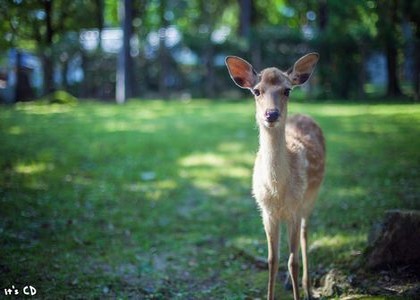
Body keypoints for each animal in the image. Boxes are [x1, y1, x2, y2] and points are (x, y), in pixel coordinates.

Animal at [225, 52, 326, 298]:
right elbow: (273, 260)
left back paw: (308, 287)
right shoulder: (266, 211)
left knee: (305, 234)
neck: (277, 191)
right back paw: (291, 284)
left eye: (287, 90)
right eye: (256, 91)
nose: (271, 114)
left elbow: (293, 262)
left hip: (311, 197)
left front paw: (301, 292)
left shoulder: (295, 208)